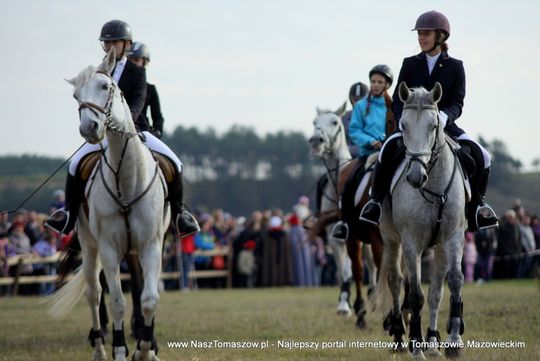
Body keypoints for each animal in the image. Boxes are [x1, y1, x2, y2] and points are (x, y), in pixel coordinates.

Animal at [47, 47, 168, 360]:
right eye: (76, 95)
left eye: (105, 86)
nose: (90, 128)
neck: (127, 178)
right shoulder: (110, 248)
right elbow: (117, 302)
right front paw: (121, 349)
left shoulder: (151, 245)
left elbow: (149, 298)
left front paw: (146, 348)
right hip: (90, 246)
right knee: (94, 293)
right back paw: (100, 348)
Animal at [376, 81, 468, 358]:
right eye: (403, 125)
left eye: (433, 125)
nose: (416, 176)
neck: (434, 186)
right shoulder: (410, 241)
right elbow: (415, 293)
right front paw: (416, 347)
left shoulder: (453, 237)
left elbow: (453, 283)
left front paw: (453, 342)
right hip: (391, 240)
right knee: (396, 281)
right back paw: (399, 338)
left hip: (438, 248)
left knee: (436, 291)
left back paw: (434, 342)